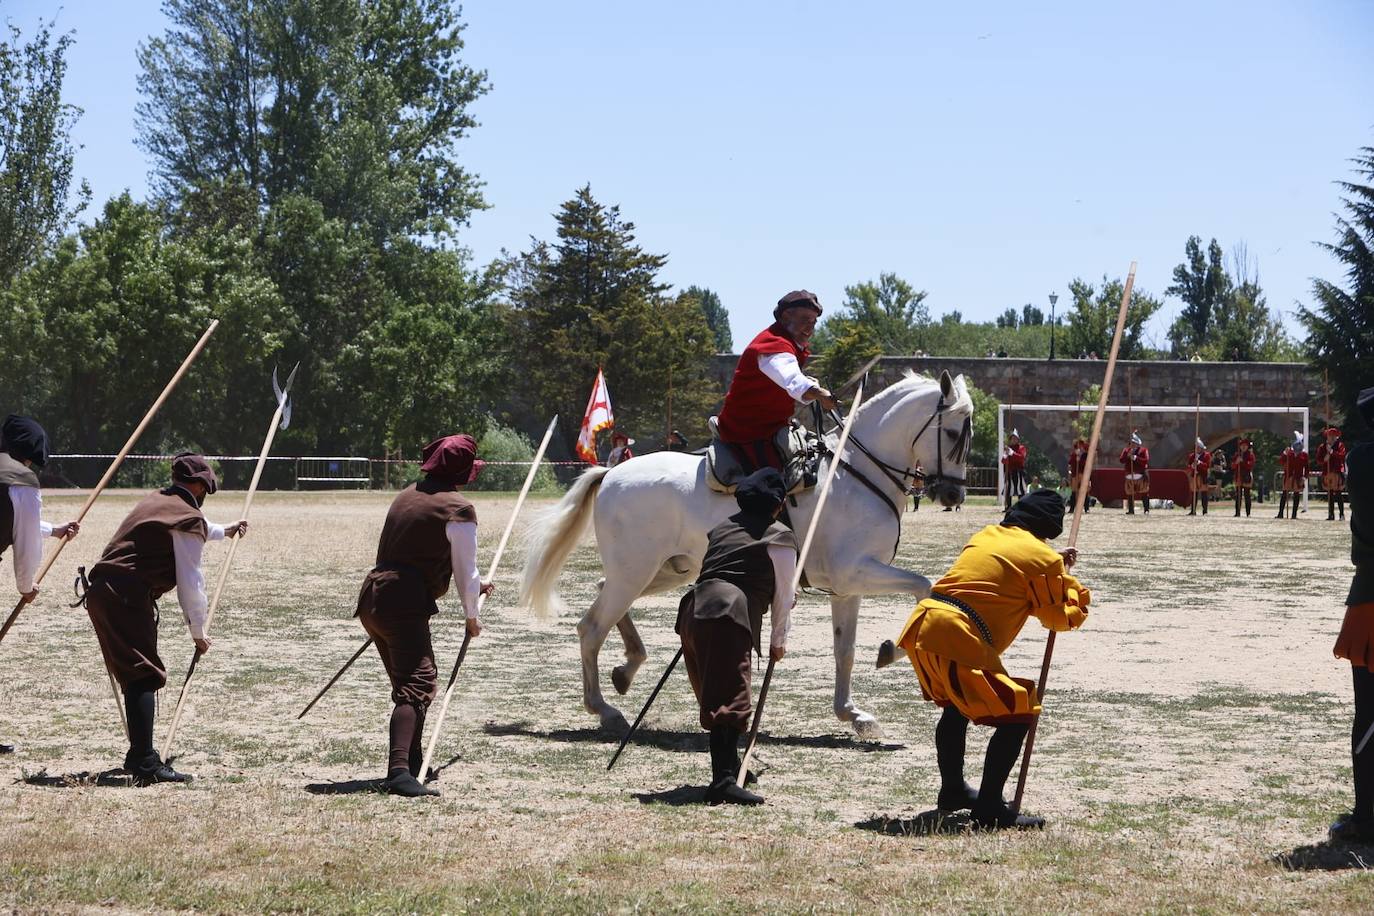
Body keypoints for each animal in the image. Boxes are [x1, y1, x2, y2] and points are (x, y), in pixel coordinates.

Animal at [516, 370, 978, 736]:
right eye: (953, 433)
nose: (954, 495)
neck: (855, 472)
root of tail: (612, 472)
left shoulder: (847, 589)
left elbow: (844, 650)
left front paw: (853, 713)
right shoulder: (856, 571)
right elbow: (924, 587)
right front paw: (891, 651)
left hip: (663, 570)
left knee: (602, 593)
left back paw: (628, 667)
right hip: (636, 571)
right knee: (592, 626)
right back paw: (605, 710)